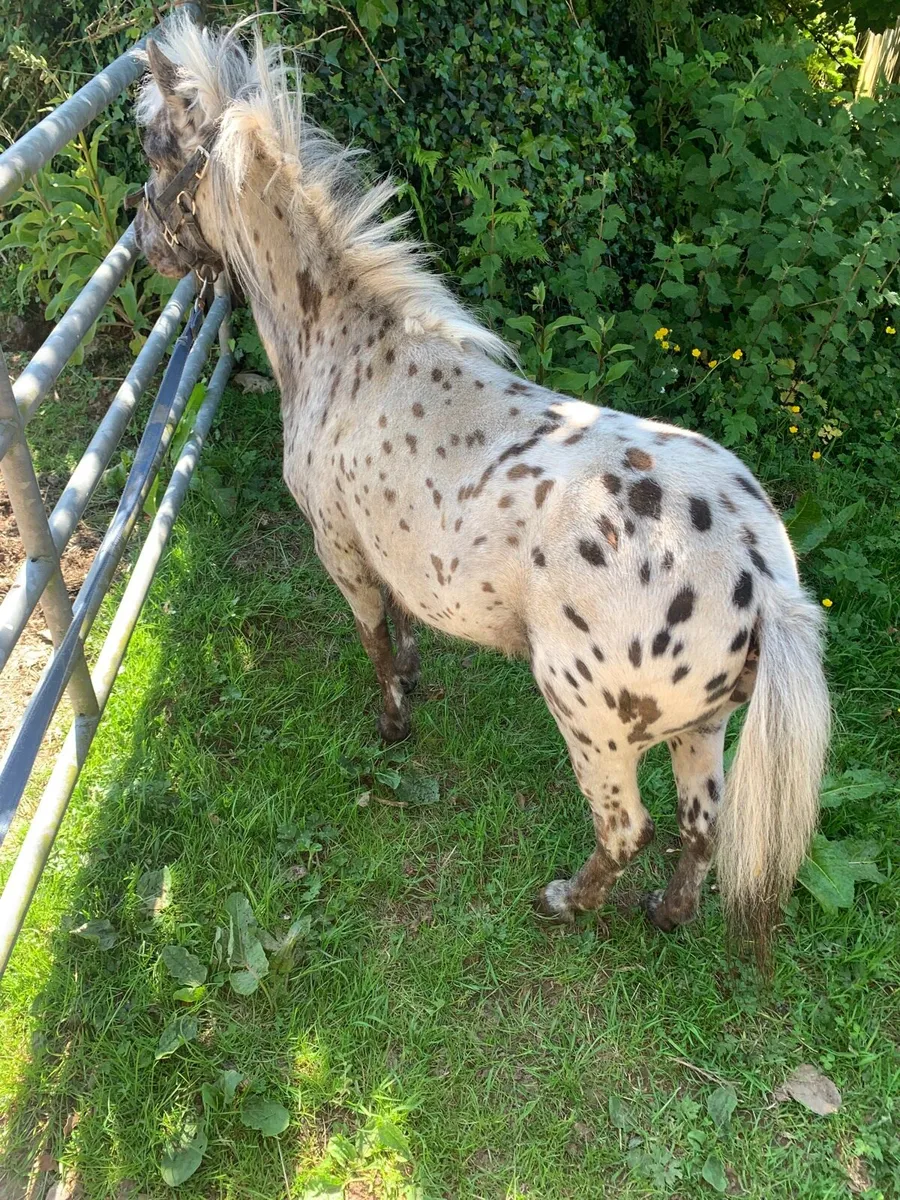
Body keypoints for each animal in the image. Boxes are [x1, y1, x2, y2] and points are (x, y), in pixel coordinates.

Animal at [133, 16, 830, 962]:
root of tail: (764, 577)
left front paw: (392, 728)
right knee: (700, 827)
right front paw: (415, 682)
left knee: (628, 829)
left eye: (156, 147)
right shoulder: (386, 551)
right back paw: (664, 914)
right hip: (703, 727)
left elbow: (373, 638)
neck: (346, 346)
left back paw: (565, 901)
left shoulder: (338, 549)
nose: (141, 240)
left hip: (590, 721)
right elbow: (402, 623)